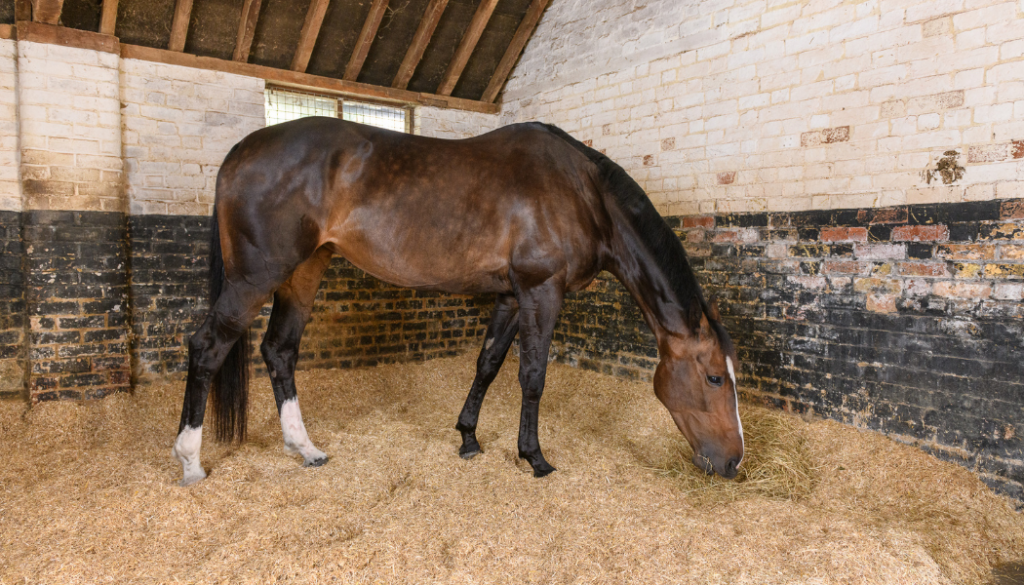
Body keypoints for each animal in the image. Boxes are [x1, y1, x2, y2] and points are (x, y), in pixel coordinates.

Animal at [172, 118, 744, 486]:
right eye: (715, 377)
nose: (735, 464)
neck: (582, 193)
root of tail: (241, 151)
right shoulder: (541, 290)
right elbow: (532, 376)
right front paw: (534, 458)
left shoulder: (511, 296)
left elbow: (488, 364)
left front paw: (469, 437)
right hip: (257, 276)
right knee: (208, 346)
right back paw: (191, 461)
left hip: (304, 271)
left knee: (279, 350)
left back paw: (305, 449)